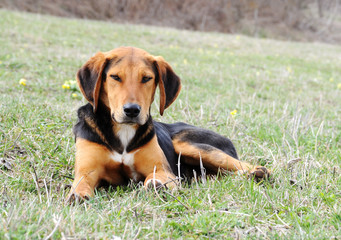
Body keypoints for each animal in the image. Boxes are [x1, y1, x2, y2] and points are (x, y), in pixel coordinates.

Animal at [68, 46, 268, 200]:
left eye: (146, 78)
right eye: (115, 77)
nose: (132, 110)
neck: (124, 130)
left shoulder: (163, 170)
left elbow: (156, 178)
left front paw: (156, 185)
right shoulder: (87, 170)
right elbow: (81, 182)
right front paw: (78, 194)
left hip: (187, 144)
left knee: (243, 165)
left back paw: (257, 172)